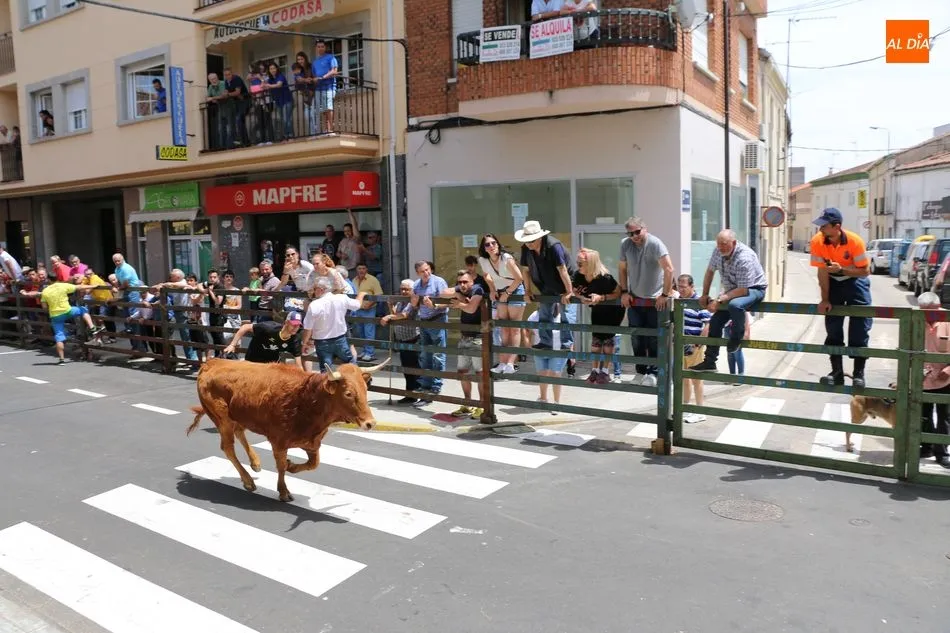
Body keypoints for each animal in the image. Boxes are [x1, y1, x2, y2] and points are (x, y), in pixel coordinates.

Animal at [187, 357, 389, 502]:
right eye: (348, 393)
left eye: (365, 389)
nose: (370, 423)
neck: (307, 400)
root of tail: (211, 362)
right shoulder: (279, 442)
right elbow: (281, 466)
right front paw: (283, 491)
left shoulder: (312, 443)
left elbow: (313, 464)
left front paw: (293, 466)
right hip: (223, 419)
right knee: (228, 448)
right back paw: (248, 480)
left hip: (238, 416)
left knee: (240, 433)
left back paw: (255, 462)